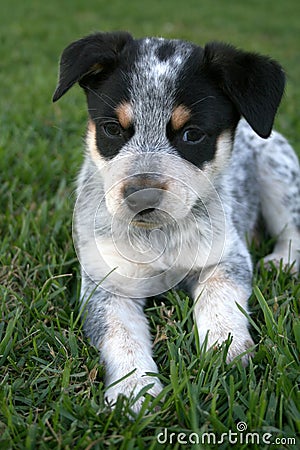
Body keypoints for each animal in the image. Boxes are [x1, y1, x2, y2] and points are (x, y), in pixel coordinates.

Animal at [52, 31, 298, 412]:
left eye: (192, 134)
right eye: (112, 128)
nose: (141, 197)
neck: (159, 237)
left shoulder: (228, 257)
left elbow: (218, 295)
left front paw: (225, 348)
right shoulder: (106, 283)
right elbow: (119, 333)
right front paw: (134, 389)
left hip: (277, 169)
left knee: (292, 225)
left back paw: (282, 260)